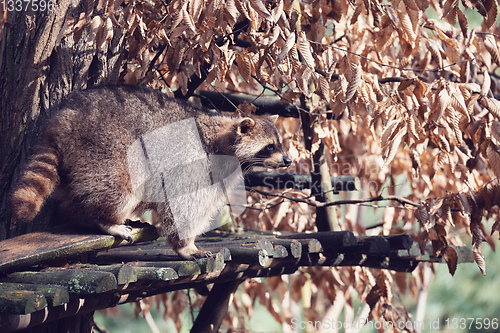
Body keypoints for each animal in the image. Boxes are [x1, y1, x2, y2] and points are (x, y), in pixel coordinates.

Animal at [9, 84, 292, 258]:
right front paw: (185, 245)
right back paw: (102, 218)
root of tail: (64, 118)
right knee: (118, 189)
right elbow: (181, 206)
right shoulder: (193, 163)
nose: (288, 160)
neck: (222, 137)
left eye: (280, 144)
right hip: (106, 149)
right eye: (269, 147)